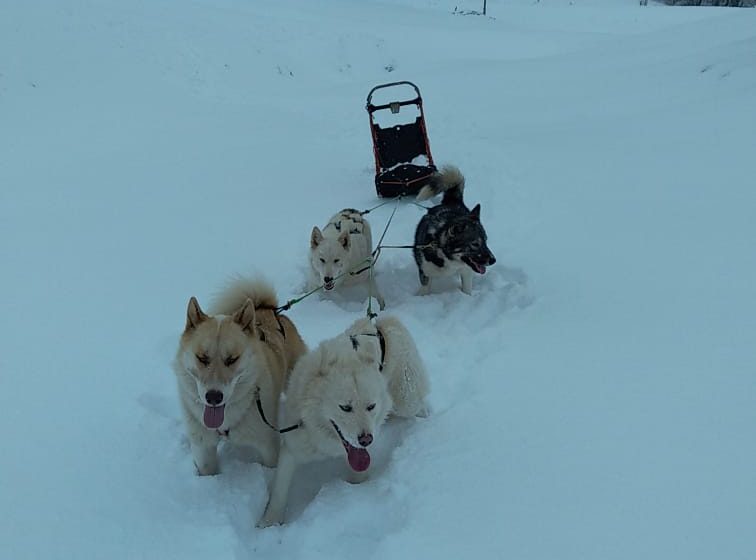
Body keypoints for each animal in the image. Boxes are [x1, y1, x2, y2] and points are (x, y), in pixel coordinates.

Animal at [174, 278, 308, 474]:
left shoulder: (268, 446)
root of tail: (269, 310)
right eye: (202, 358)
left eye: (232, 359)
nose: (213, 397)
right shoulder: (203, 448)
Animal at [414, 166, 496, 296]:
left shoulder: (466, 271)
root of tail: (452, 202)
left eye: (486, 241)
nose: (493, 260)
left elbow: (467, 289)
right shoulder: (425, 271)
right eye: (475, 244)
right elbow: (424, 288)